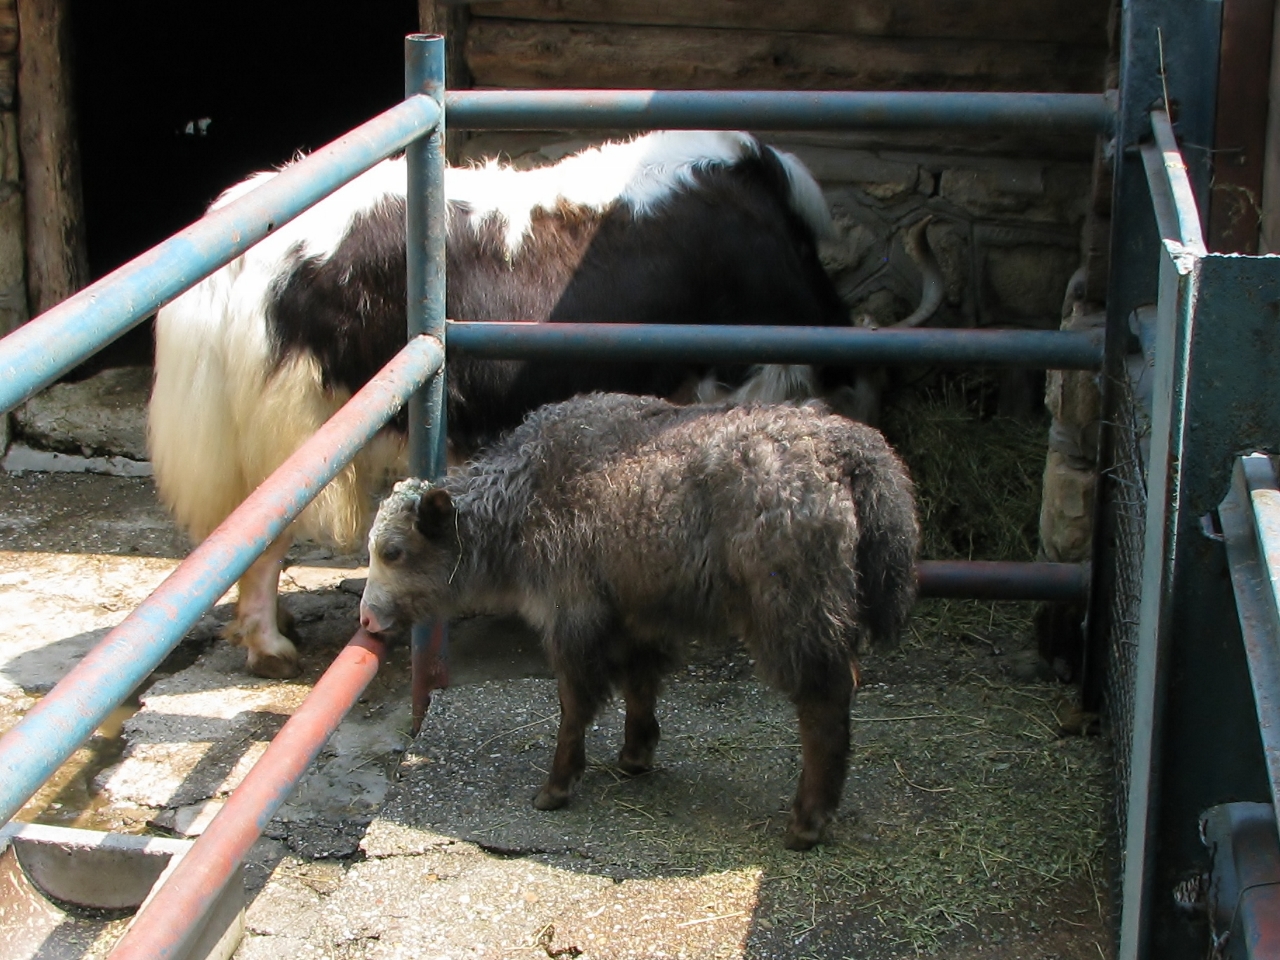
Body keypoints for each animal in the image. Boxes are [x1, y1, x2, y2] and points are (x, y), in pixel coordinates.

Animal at [358, 392, 920, 850]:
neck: (525, 494)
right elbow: (639, 681)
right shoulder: (636, 614)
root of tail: (848, 450)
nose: (367, 618)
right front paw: (635, 753)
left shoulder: (573, 614)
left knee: (825, 702)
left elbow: (575, 704)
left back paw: (808, 820)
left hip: (794, 611)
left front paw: (557, 786)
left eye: (394, 551)